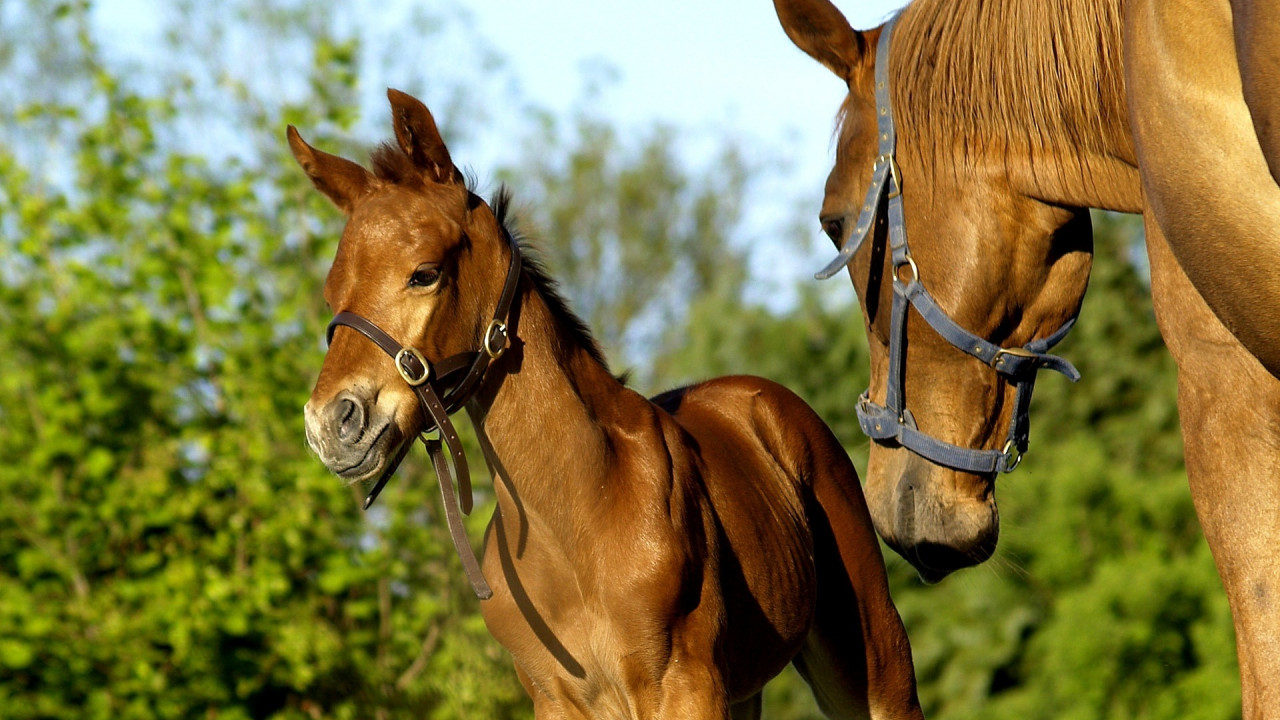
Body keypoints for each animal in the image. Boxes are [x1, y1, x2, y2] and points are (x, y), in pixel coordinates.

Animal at [294, 89, 926, 717]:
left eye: (424, 273)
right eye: (330, 293)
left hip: (871, 657)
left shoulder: (685, 687)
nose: (332, 423)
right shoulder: (553, 699)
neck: (575, 520)